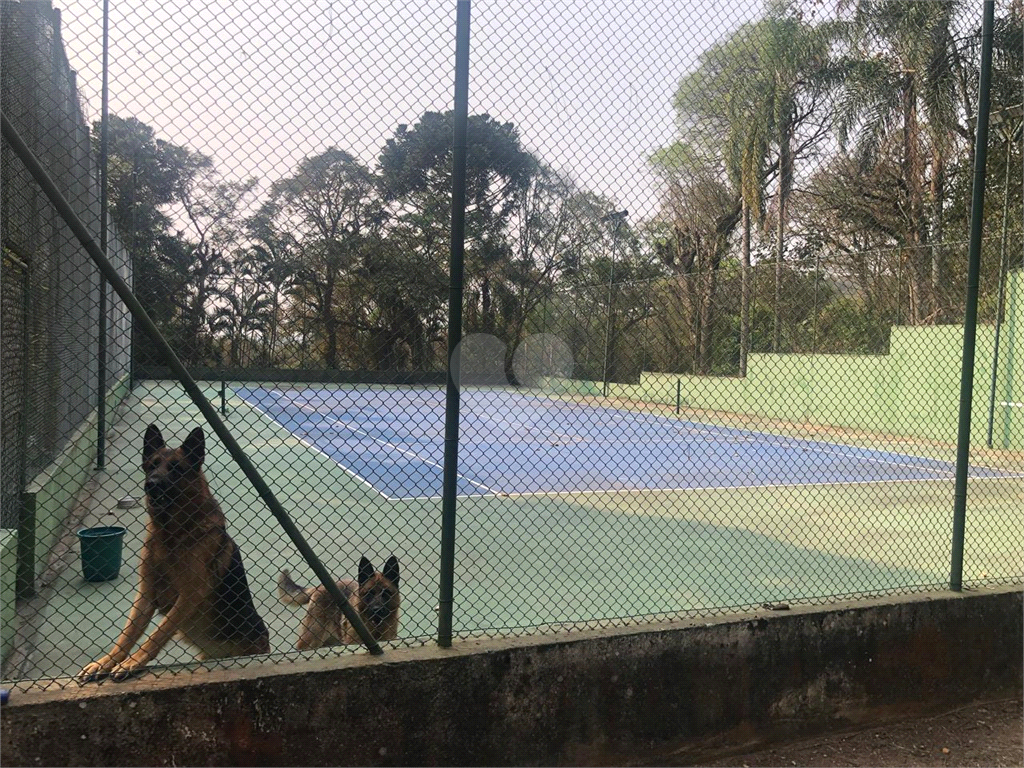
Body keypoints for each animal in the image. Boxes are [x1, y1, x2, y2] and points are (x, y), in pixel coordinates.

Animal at [76, 423, 268, 684]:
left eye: (176, 469)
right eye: (152, 465)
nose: (152, 484)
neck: (172, 534)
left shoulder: (190, 593)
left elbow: (158, 632)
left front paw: (133, 662)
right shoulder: (146, 593)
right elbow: (127, 634)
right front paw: (105, 662)